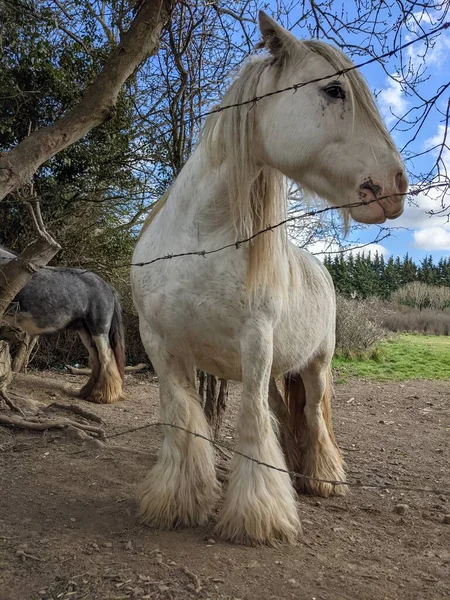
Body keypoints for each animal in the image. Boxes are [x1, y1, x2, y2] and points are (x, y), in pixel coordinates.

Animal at [131, 11, 408, 548]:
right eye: (334, 90)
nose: (396, 186)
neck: (199, 240)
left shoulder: (255, 342)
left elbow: (251, 424)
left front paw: (257, 516)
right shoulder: (159, 343)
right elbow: (183, 422)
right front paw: (177, 501)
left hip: (316, 366)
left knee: (313, 415)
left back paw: (322, 478)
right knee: (285, 414)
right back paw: (297, 471)